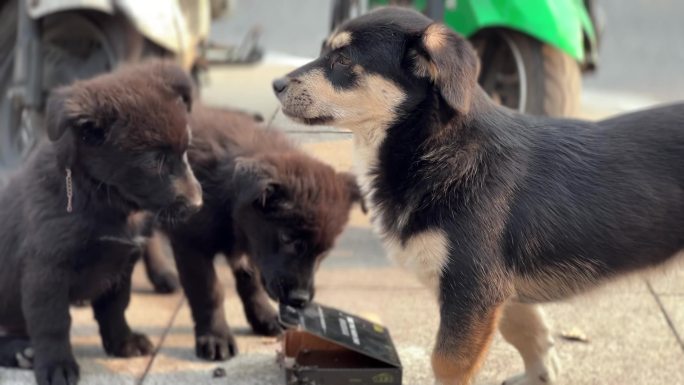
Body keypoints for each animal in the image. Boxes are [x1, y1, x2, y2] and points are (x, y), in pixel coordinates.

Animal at [272, 6, 684, 384]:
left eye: (343, 59)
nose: (275, 85)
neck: (435, 148)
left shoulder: (471, 288)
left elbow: (447, 362)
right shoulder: (496, 288)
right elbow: (525, 328)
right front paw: (540, 373)